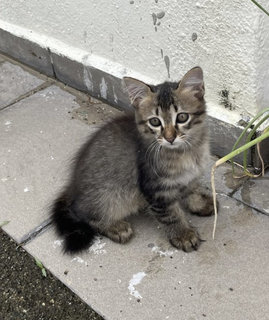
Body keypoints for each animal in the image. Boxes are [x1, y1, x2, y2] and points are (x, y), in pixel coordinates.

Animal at [51, 67, 213, 252]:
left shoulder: (189, 177)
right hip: (112, 196)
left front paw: (200, 203)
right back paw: (115, 227)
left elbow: (191, 190)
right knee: (82, 213)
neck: (186, 151)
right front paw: (183, 234)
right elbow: (171, 214)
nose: (170, 138)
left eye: (182, 117)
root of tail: (73, 186)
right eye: (155, 121)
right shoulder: (155, 189)